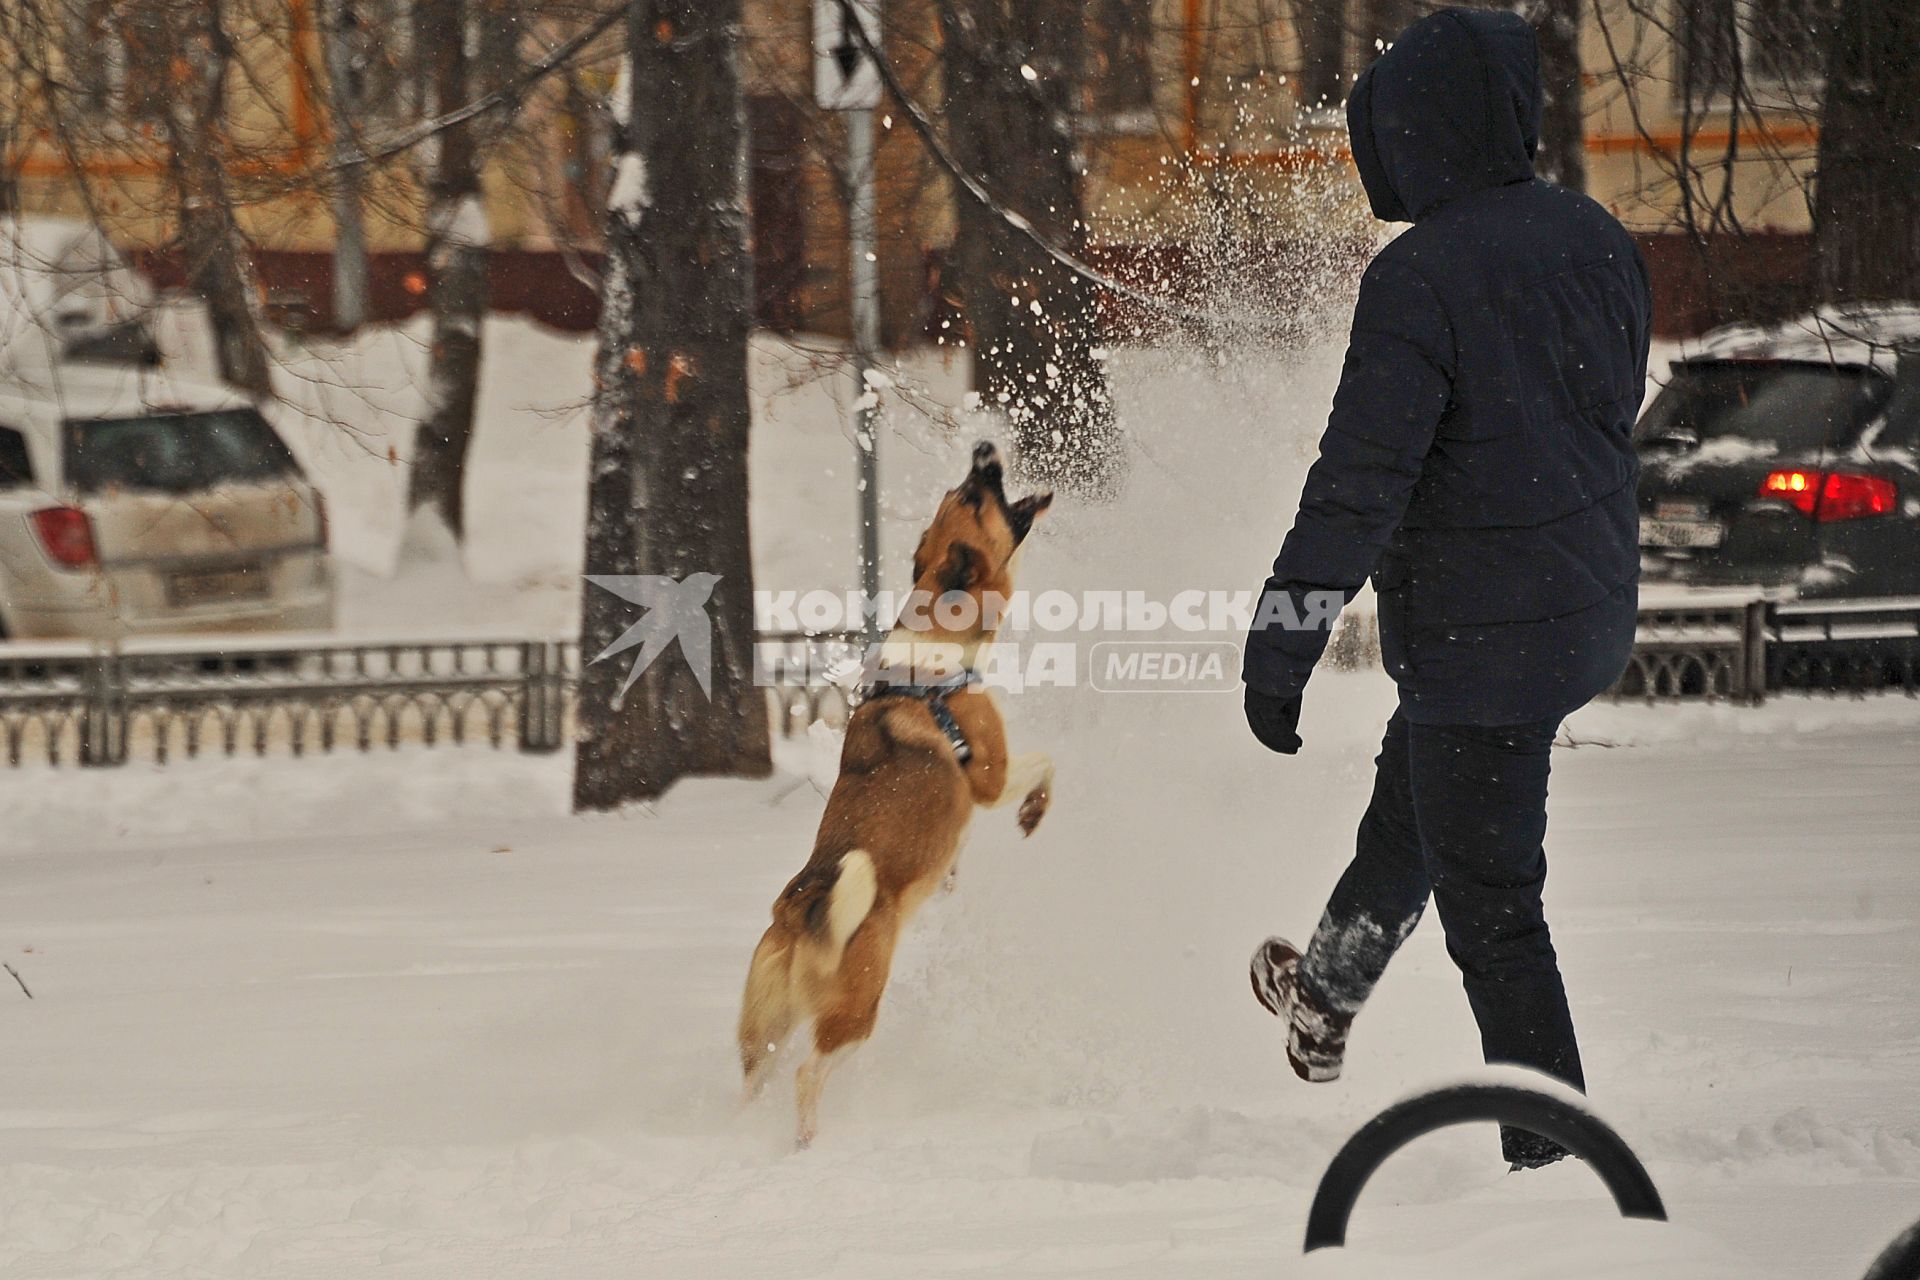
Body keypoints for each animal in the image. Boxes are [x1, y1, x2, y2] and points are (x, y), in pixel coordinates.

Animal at [737, 443, 1067, 1151]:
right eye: (973, 496)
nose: (983, 450)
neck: (934, 652)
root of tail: (800, 907)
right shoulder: (990, 776)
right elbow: (1043, 766)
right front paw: (1034, 812)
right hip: (858, 1008)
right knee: (809, 1072)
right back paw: (807, 1140)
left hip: (764, 1021)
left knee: (757, 1076)